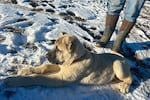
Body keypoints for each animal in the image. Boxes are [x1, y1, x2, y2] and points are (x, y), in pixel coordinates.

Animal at [3, 32, 132, 94]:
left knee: (130, 79)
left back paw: (124, 86)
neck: (75, 60)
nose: (46, 55)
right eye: (54, 45)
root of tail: (123, 57)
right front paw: (25, 70)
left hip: (118, 65)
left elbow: (38, 77)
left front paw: (13, 80)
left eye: (58, 49)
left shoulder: (61, 78)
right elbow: (44, 66)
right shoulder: (60, 66)